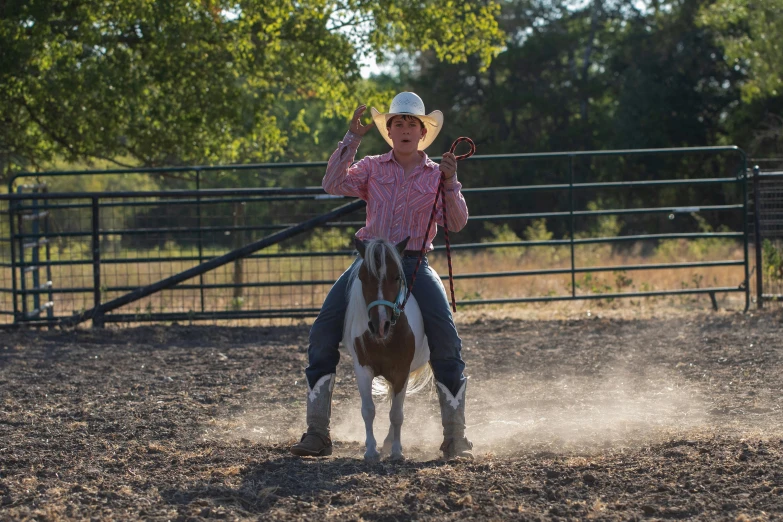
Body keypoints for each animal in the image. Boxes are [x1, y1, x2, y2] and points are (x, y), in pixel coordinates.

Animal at [346, 236, 434, 460]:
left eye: (396, 277)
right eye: (363, 277)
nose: (380, 325)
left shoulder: (402, 372)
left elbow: (396, 414)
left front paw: (396, 451)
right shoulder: (363, 369)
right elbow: (368, 410)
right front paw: (370, 450)